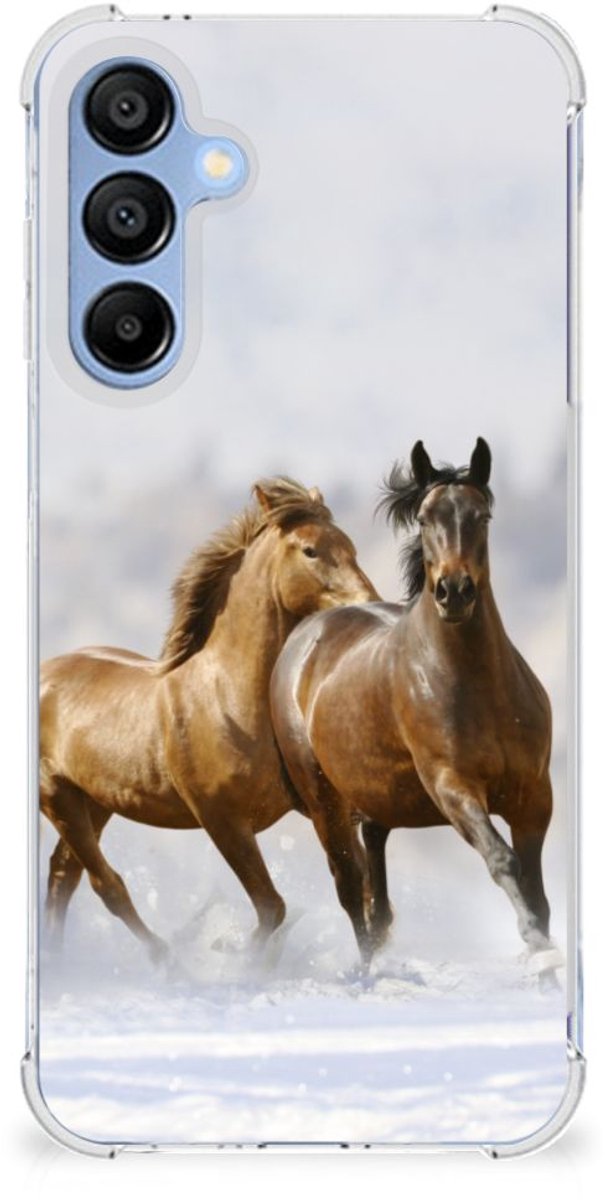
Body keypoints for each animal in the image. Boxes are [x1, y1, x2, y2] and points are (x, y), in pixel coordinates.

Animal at [40, 477, 378, 961]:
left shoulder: (321, 807)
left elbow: (354, 887)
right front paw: (233, 955)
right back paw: (166, 959)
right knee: (106, 885)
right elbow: (272, 907)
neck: (228, 699)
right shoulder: (222, 820)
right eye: (310, 550)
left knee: (63, 876)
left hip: (95, 801)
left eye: (350, 546)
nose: (370, 604)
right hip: (57, 796)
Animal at [270, 440, 558, 972]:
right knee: (350, 889)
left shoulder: (534, 797)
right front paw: (534, 944)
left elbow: (536, 889)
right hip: (325, 802)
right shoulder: (453, 788)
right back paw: (366, 971)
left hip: (375, 799)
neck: (480, 689)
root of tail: (306, 634)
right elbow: (502, 860)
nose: (454, 592)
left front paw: (545, 954)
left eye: (482, 515)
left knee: (376, 891)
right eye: (425, 518)